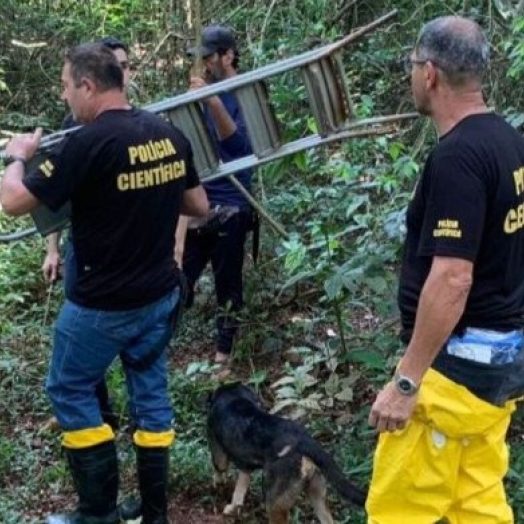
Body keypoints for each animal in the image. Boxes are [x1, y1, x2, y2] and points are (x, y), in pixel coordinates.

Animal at [207, 380, 366, 524]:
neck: (235, 397)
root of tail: (305, 440)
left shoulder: (217, 451)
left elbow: (219, 472)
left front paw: (218, 488)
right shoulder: (247, 466)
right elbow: (240, 488)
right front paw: (233, 508)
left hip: (274, 503)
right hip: (316, 493)